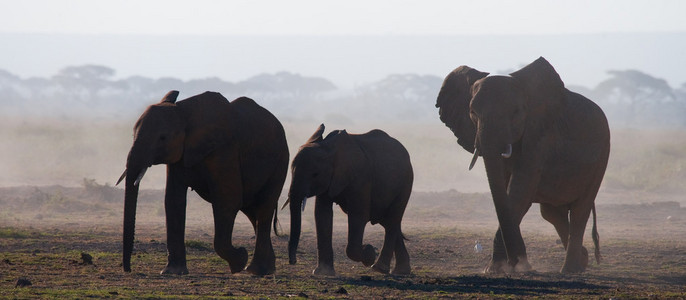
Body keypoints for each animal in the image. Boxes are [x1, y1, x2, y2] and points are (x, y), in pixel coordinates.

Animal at [117, 90, 288, 276]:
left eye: (163, 138)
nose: (128, 269)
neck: (184, 112)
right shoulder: (179, 156)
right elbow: (173, 201)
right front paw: (172, 272)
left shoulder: (224, 150)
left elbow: (227, 201)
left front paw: (239, 260)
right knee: (252, 211)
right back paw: (265, 269)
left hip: (280, 162)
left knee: (264, 208)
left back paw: (256, 270)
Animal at [284, 123, 414, 276]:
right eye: (291, 171)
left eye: (315, 174)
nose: (293, 261)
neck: (328, 148)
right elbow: (322, 214)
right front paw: (322, 272)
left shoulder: (360, 177)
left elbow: (358, 216)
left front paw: (369, 252)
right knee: (388, 221)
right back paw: (401, 271)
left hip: (406, 183)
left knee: (392, 219)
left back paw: (379, 268)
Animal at [438, 56, 612, 274]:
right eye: (472, 112)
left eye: (516, 113)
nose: (516, 261)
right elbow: (507, 193)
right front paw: (510, 267)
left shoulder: (539, 136)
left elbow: (520, 192)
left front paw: (499, 268)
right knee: (552, 213)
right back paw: (583, 259)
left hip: (602, 157)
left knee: (580, 211)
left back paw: (570, 270)